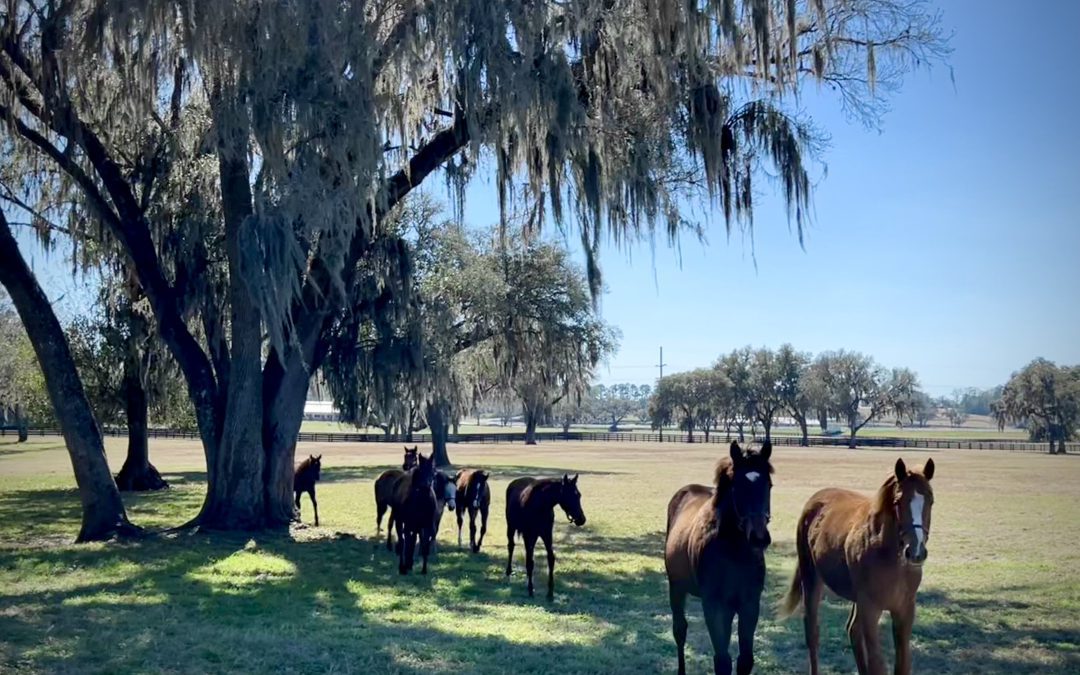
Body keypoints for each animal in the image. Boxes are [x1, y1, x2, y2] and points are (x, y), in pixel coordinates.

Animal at [660, 440, 773, 673]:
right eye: (737, 486)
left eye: (769, 485)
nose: (759, 538)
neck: (735, 552)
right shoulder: (715, 605)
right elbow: (722, 661)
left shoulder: (749, 603)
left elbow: (745, 660)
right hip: (676, 587)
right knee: (679, 631)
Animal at [777, 457, 937, 673]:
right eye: (898, 501)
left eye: (931, 500)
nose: (916, 552)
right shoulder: (870, 608)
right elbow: (877, 664)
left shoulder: (904, 610)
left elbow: (902, 664)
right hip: (811, 579)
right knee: (812, 633)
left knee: (852, 630)